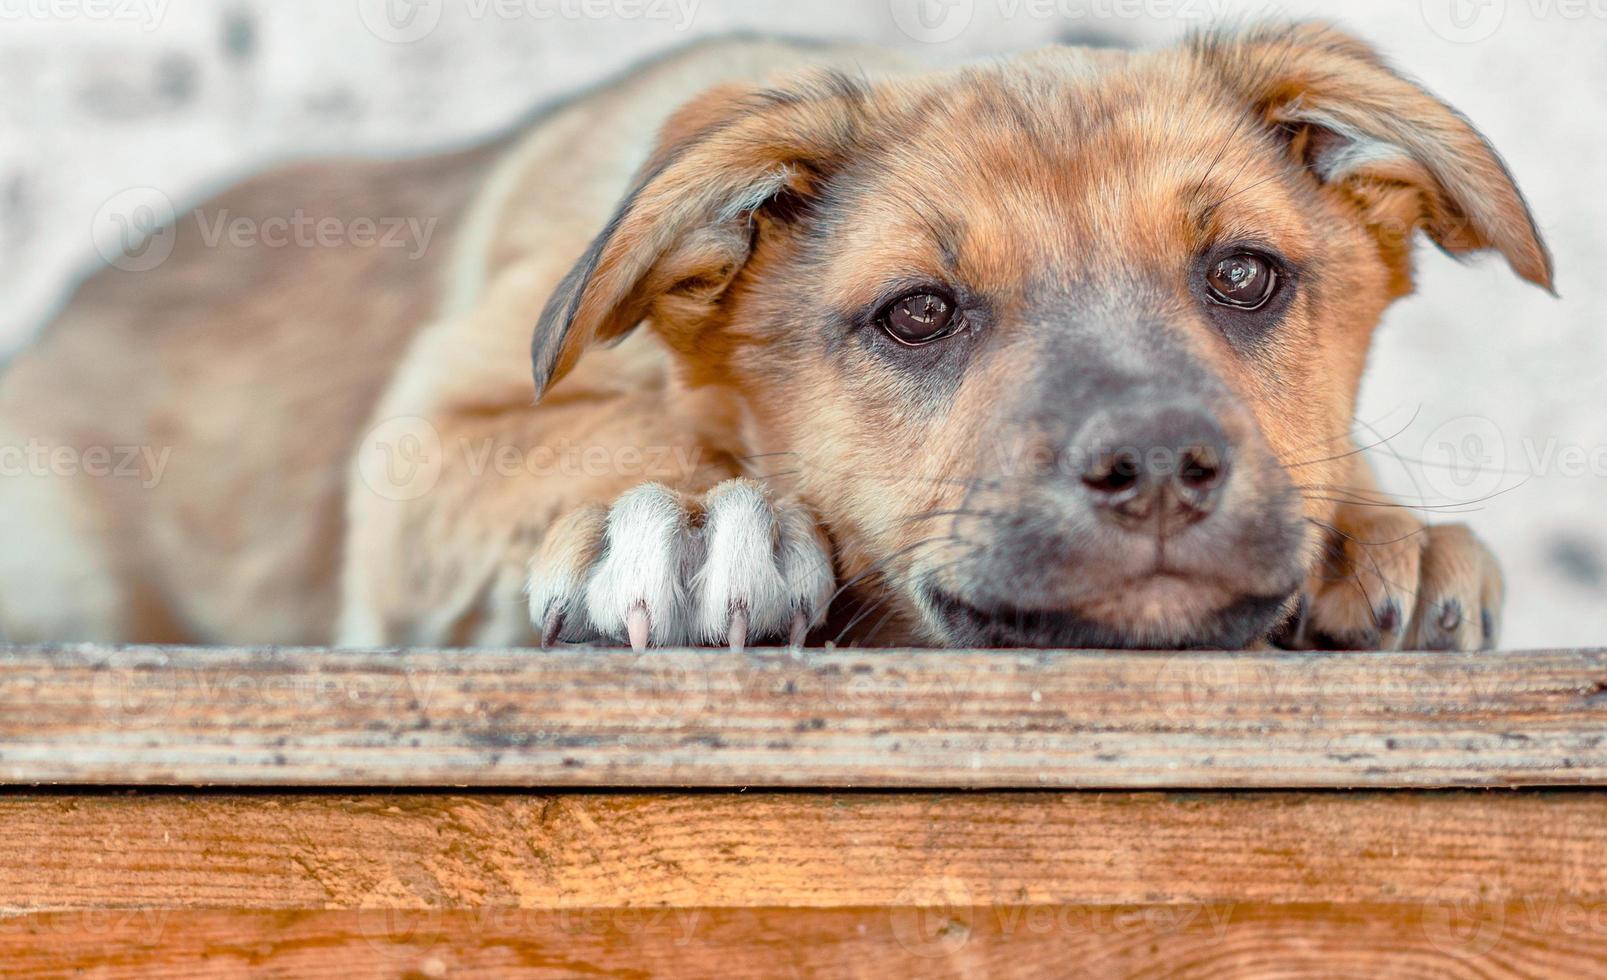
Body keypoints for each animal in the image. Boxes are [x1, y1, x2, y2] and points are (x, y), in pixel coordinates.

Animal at [3, 24, 1555, 649]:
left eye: (1242, 274)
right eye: (917, 313)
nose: (1165, 469)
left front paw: (1375, 531)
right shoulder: (421, 450)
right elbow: (608, 434)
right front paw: (697, 520)